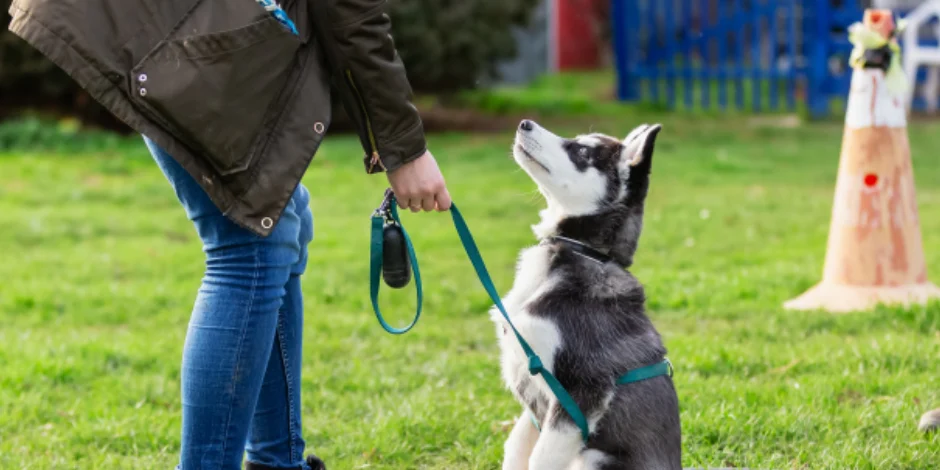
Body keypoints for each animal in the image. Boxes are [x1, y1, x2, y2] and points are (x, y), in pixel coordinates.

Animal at [492, 119, 684, 468]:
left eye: (582, 152)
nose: (525, 123)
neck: (579, 251)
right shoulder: (535, 400)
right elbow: (515, 448)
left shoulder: (582, 392)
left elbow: (539, 460)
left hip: (594, 459)